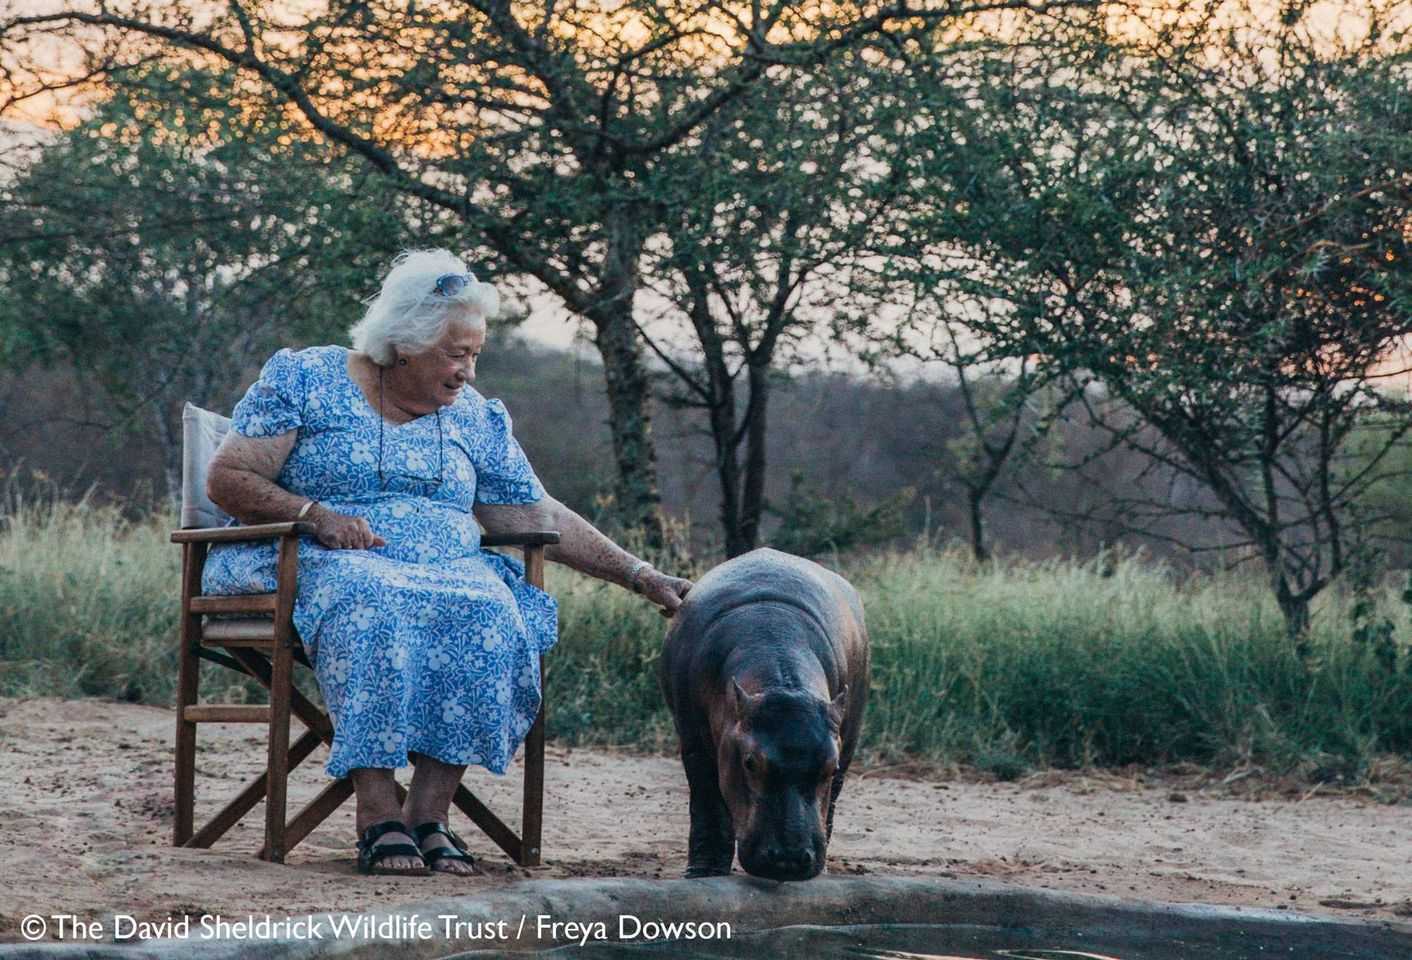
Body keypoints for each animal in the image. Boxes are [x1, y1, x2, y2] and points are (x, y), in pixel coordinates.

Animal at [657, 547, 864, 875]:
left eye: (830, 768)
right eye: (750, 762)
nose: (790, 858)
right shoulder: (695, 743)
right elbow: (708, 804)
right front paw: (704, 873)